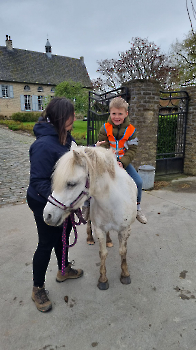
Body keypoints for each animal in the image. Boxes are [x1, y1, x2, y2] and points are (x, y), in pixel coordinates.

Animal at [43, 145, 137, 290]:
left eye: (71, 184)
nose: (47, 215)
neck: (114, 202)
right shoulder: (99, 229)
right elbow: (103, 254)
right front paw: (103, 280)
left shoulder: (125, 229)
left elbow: (123, 251)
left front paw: (125, 274)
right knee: (88, 222)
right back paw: (90, 238)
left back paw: (109, 240)